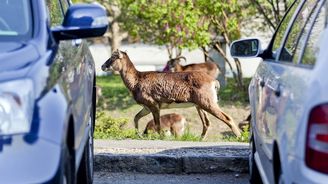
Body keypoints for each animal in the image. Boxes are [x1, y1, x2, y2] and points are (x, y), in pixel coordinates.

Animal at [100, 49, 241, 139]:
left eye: (113, 57)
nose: (102, 66)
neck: (137, 80)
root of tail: (213, 81)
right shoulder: (146, 108)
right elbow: (136, 118)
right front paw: (138, 135)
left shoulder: (154, 106)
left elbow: (157, 125)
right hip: (200, 106)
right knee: (206, 123)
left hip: (208, 103)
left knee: (227, 118)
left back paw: (239, 137)